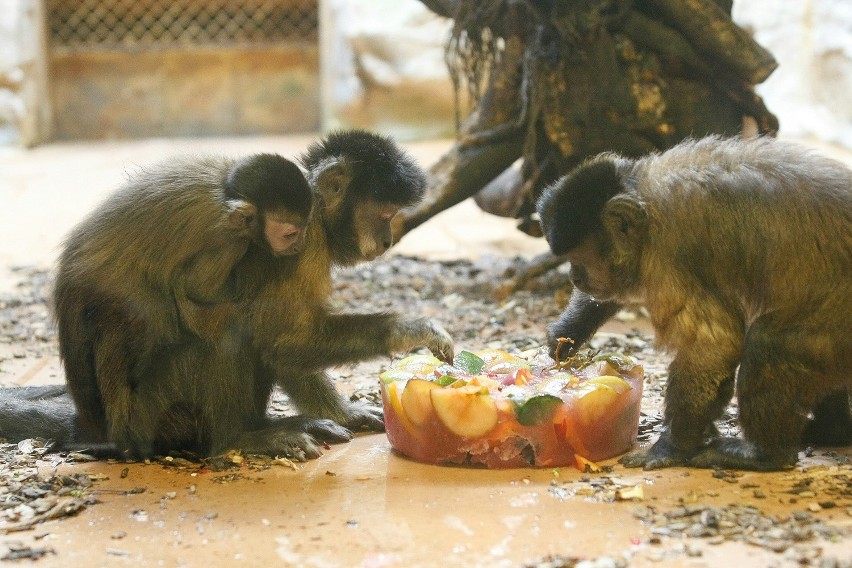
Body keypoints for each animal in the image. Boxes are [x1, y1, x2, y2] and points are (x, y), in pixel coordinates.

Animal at [540, 136, 852, 470]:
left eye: (580, 261)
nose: (574, 277)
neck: (645, 197)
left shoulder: (667, 255)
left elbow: (713, 345)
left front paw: (672, 447)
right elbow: (607, 299)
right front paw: (567, 335)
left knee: (769, 346)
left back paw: (764, 454)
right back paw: (832, 431)